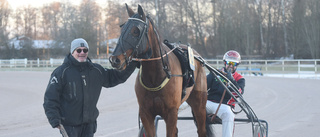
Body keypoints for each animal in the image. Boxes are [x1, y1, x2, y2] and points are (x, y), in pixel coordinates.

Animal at [109, 3, 206, 136]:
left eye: (136, 31)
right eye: (122, 30)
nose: (115, 59)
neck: (155, 77)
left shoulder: (171, 113)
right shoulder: (146, 113)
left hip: (199, 104)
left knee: (201, 128)